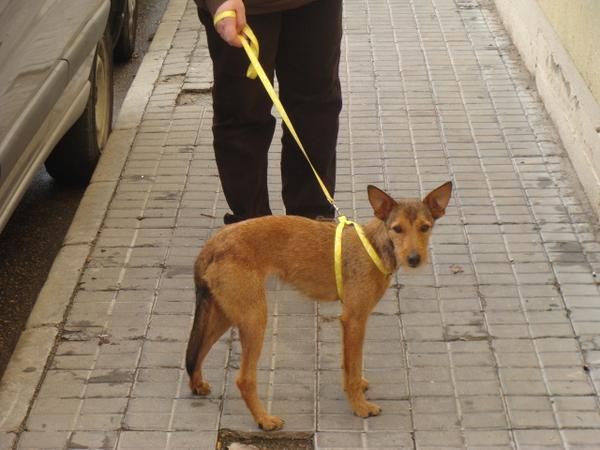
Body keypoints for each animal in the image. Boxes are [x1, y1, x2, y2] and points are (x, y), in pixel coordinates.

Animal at [185, 181, 452, 430]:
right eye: (397, 229)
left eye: (425, 227)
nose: (414, 259)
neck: (375, 245)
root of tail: (213, 243)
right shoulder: (355, 319)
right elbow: (354, 367)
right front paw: (360, 406)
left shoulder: (350, 322)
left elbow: (349, 365)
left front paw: (355, 387)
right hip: (254, 318)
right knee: (243, 379)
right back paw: (264, 419)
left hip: (226, 314)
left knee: (197, 353)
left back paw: (198, 385)